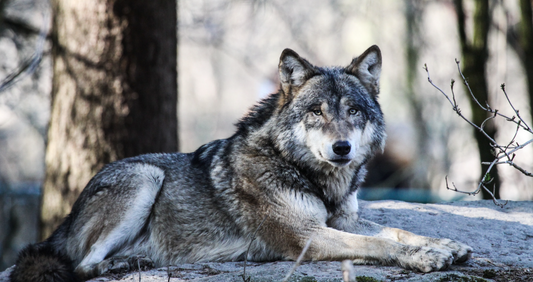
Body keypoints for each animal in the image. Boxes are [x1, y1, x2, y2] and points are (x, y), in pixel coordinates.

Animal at [10, 45, 472, 280]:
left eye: (353, 111)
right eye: (316, 111)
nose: (342, 148)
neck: (305, 172)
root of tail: (63, 223)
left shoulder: (341, 220)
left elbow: (395, 230)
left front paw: (443, 244)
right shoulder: (306, 236)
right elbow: (377, 244)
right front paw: (424, 257)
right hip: (145, 176)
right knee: (81, 265)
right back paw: (124, 263)